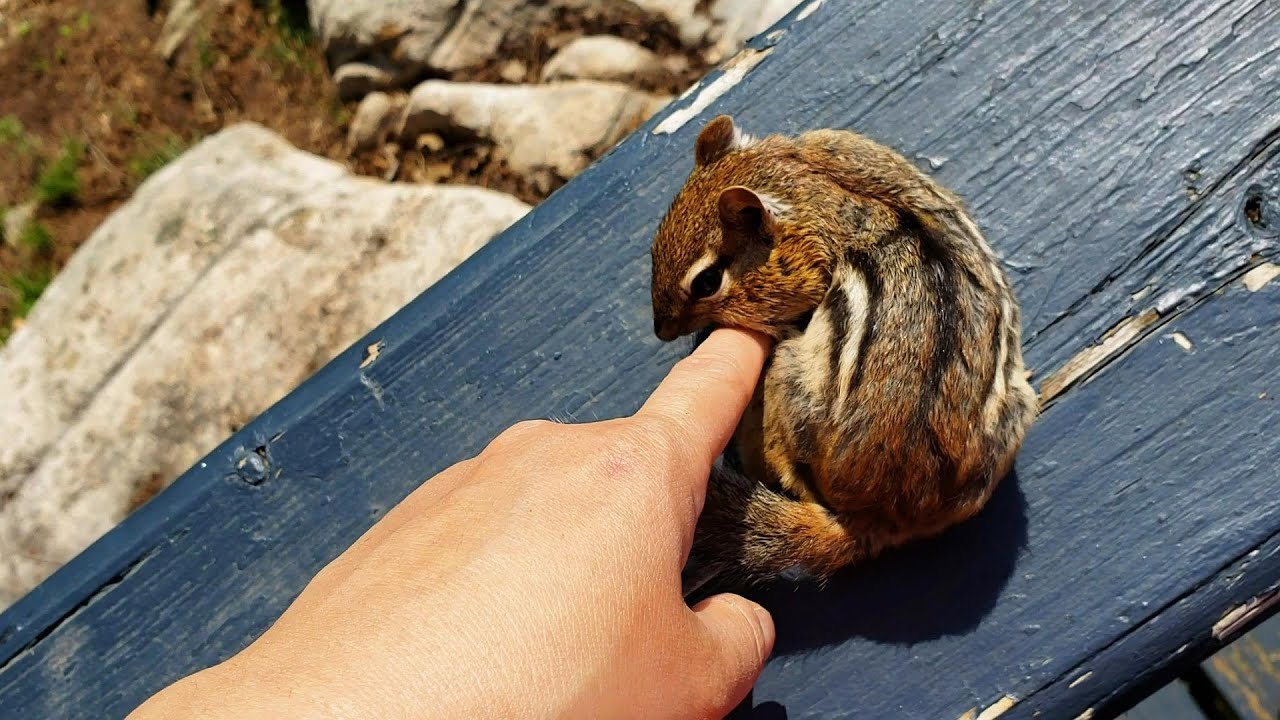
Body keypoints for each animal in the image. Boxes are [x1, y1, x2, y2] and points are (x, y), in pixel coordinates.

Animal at [649, 115, 1039, 596]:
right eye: (654, 249)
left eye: (706, 283)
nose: (661, 330)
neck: (803, 181)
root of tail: (876, 520)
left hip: (786, 381)